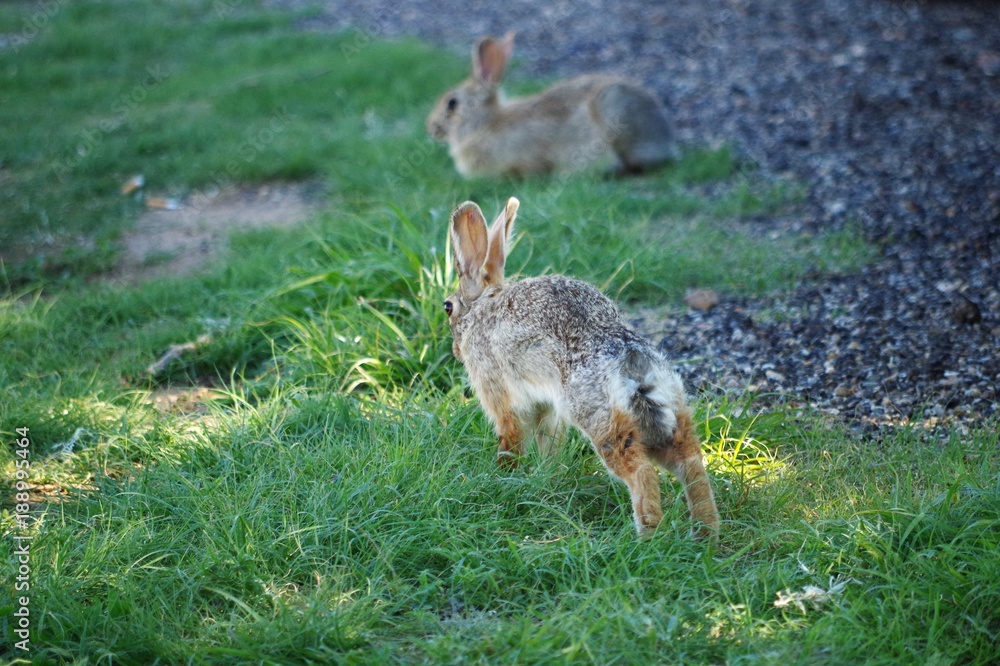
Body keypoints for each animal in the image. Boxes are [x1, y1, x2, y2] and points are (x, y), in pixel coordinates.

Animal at [443, 197, 719, 539]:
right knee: (691, 462)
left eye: (448, 307)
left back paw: (647, 536)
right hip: (669, 414)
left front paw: (505, 472)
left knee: (640, 472)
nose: (456, 350)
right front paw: (546, 476)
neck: (482, 308)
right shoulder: (546, 405)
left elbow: (511, 436)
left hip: (603, 420)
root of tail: (634, 362)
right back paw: (707, 534)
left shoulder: (498, 393)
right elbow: (549, 442)